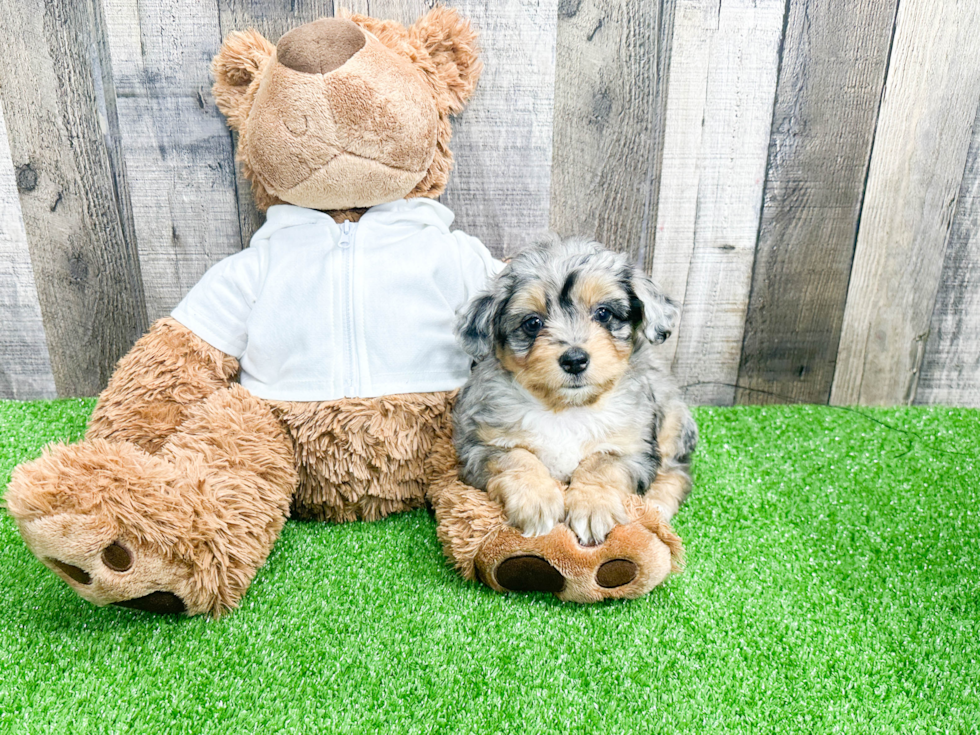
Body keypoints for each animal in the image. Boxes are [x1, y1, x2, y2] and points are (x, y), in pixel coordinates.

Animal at [452, 236, 696, 548]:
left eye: (603, 313)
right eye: (532, 323)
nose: (575, 360)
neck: (567, 408)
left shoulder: (633, 448)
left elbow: (602, 465)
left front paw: (593, 507)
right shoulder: (482, 445)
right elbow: (517, 459)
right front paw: (537, 500)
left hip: (673, 423)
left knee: (678, 472)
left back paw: (656, 504)